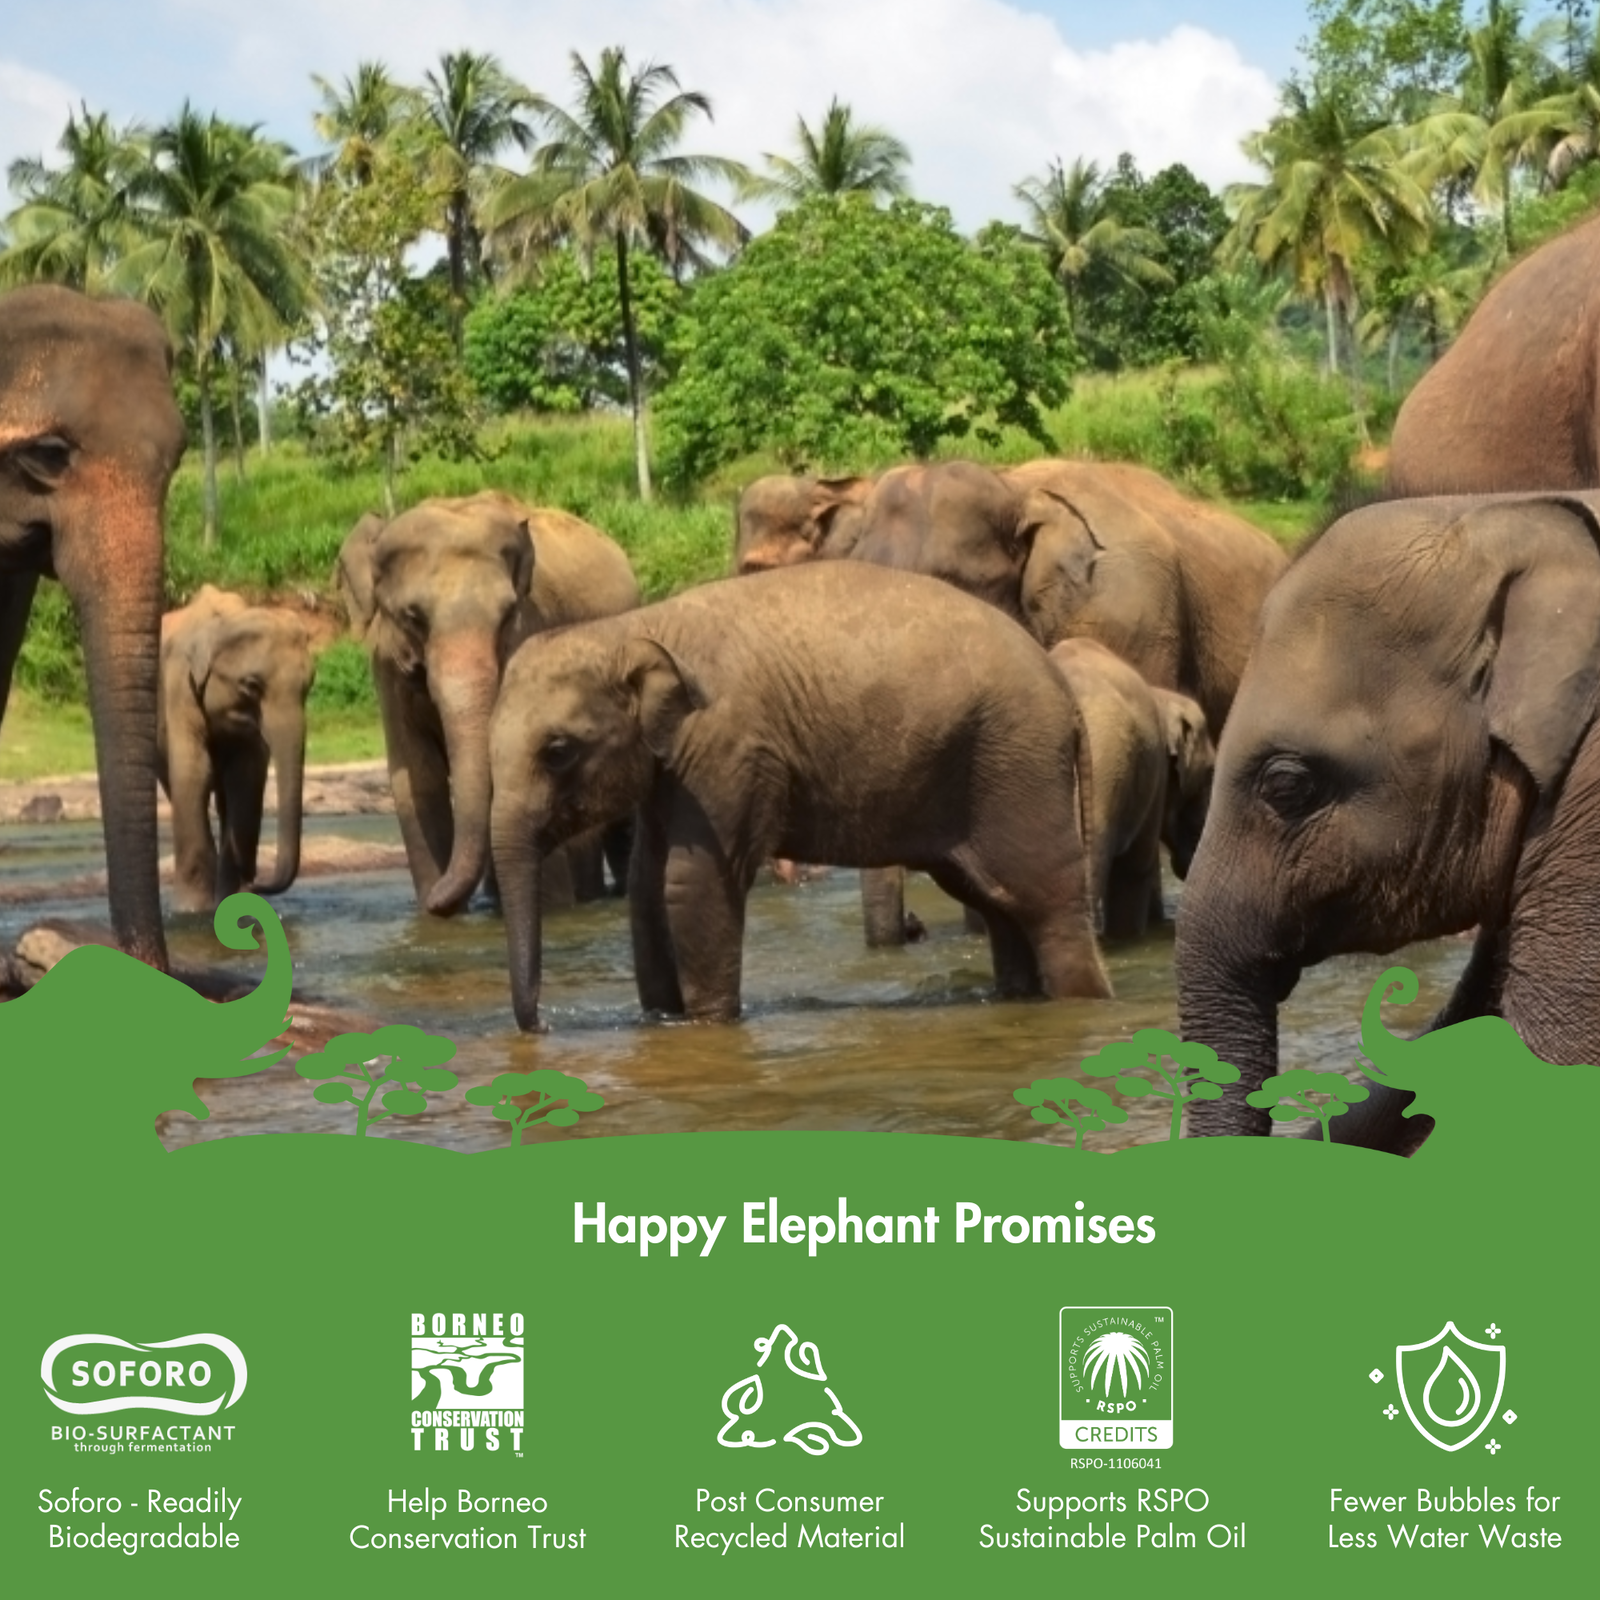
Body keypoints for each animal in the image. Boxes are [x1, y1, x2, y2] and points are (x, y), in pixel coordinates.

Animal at [157, 586, 315, 913]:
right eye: (251, 685)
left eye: (310, 685)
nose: (258, 884)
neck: (224, 622)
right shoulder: (179, 687)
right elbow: (194, 774)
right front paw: (192, 912)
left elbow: (246, 778)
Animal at [338, 490, 640, 915]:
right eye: (413, 616)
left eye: (508, 614)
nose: (433, 901)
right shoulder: (387, 668)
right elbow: (418, 777)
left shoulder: (531, 634)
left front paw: (553, 911)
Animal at [488, 561, 1111, 1030]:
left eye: (558, 750)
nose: (543, 1025)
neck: (630, 628)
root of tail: (1066, 692)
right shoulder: (674, 767)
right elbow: (646, 887)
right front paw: (662, 1021)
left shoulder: (728, 747)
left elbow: (692, 883)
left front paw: (706, 1026)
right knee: (996, 901)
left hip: (1017, 762)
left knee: (1046, 900)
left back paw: (1083, 1003)